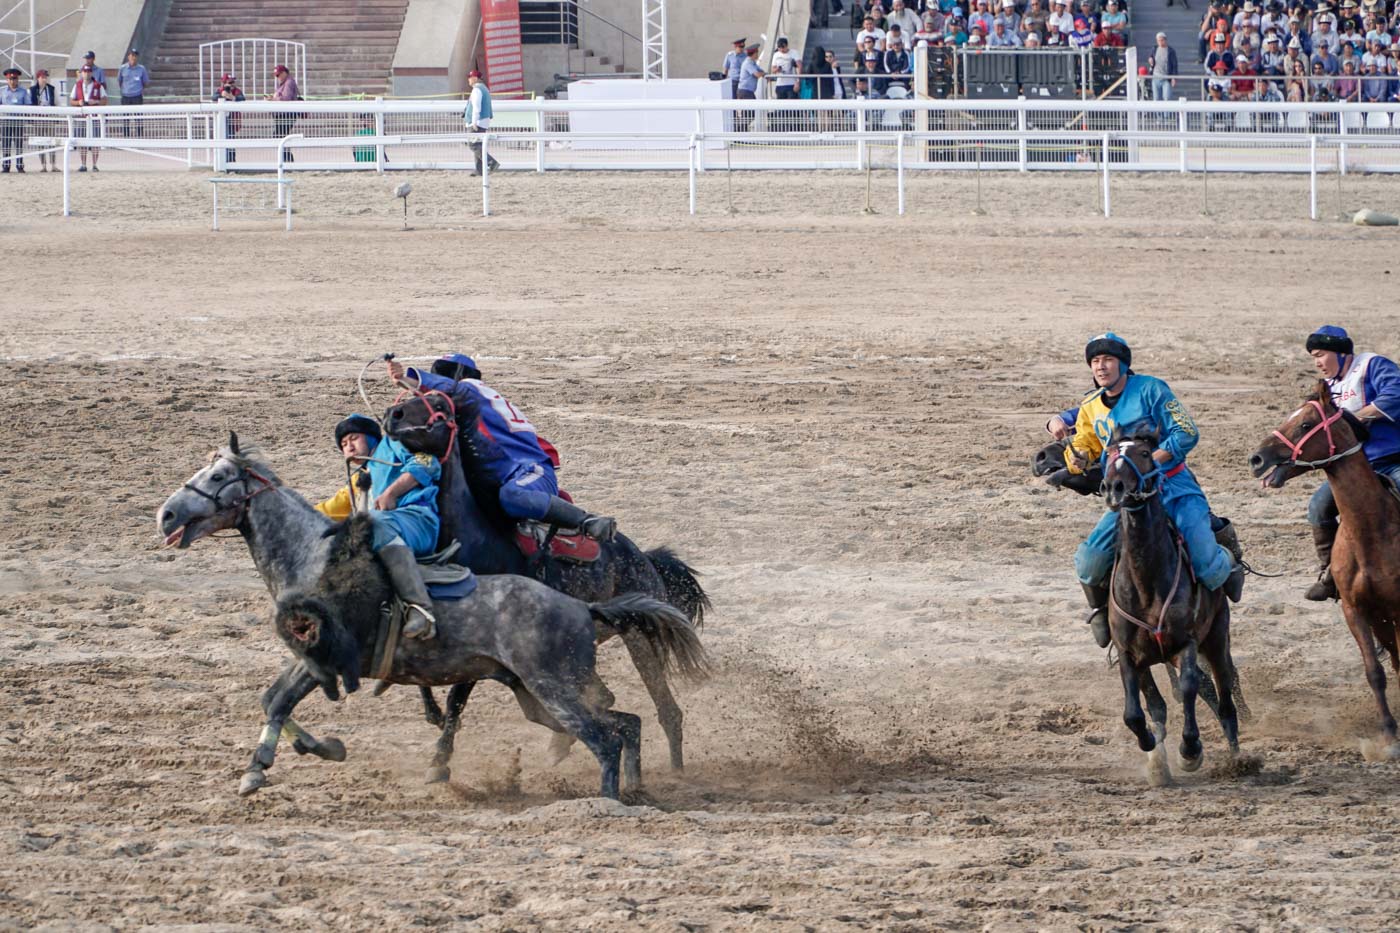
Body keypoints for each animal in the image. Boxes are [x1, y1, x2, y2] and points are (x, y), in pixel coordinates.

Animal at [156, 431, 711, 795]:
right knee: (625, 721)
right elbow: (272, 700)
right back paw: (634, 788)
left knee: (621, 728)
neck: (312, 555)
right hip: (538, 695)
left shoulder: (327, 657)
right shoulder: (307, 659)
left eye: (219, 475)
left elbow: (281, 701)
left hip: (564, 683)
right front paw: (286, 758)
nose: (166, 514)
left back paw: (617, 795)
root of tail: (582, 605)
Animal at [1097, 425, 1243, 778]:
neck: (1146, 582)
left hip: (1217, 639)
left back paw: (1238, 758)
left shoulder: (1185, 643)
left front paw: (1190, 751)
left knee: (1224, 698)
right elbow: (1141, 711)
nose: (1114, 487)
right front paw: (1153, 752)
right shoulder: (1128, 653)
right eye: (1109, 453)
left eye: (1145, 453)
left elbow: (1189, 687)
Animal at [1248, 378, 1400, 750]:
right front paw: (1388, 731)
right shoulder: (1355, 610)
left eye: (1305, 424)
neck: (1371, 531)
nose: (1256, 459)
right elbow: (1374, 672)